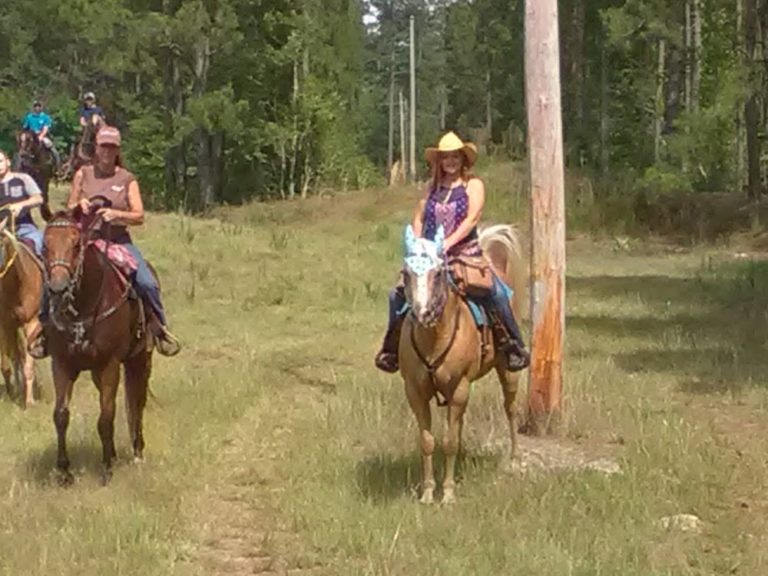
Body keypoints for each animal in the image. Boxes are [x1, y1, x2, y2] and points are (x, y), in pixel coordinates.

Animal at [42, 199, 154, 486]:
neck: (84, 306)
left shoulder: (109, 365)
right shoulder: (61, 364)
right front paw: (64, 471)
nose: (58, 289)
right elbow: (60, 415)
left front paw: (106, 469)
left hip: (140, 359)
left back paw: (137, 452)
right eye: (45, 245)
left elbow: (106, 416)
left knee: (137, 401)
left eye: (76, 244)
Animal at [396, 223, 528, 502]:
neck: (435, 338)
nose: (422, 313)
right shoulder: (415, 391)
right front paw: (427, 493)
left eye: (437, 273)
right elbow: (428, 441)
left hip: (508, 372)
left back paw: (514, 457)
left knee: (510, 408)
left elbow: (449, 442)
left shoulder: (458, 389)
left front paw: (447, 494)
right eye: (406, 273)